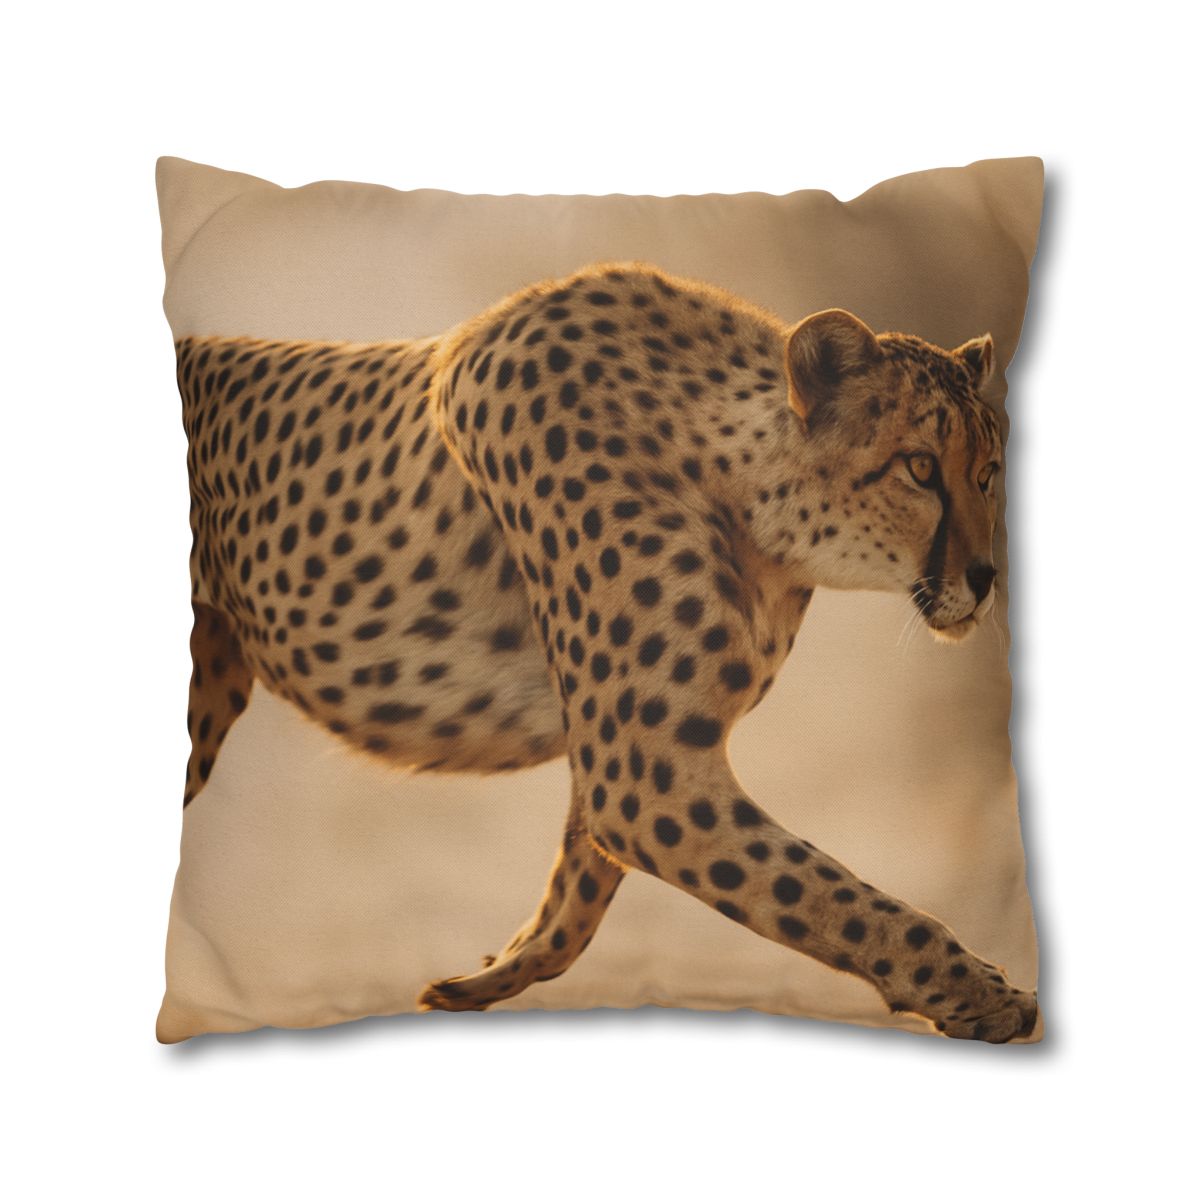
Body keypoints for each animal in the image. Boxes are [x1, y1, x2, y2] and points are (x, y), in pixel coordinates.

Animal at [175, 261, 1037, 1043]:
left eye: (990, 473)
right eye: (920, 467)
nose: (985, 578)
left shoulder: (629, 753)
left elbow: (578, 892)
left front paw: (486, 976)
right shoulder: (642, 771)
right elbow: (831, 897)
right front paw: (985, 995)